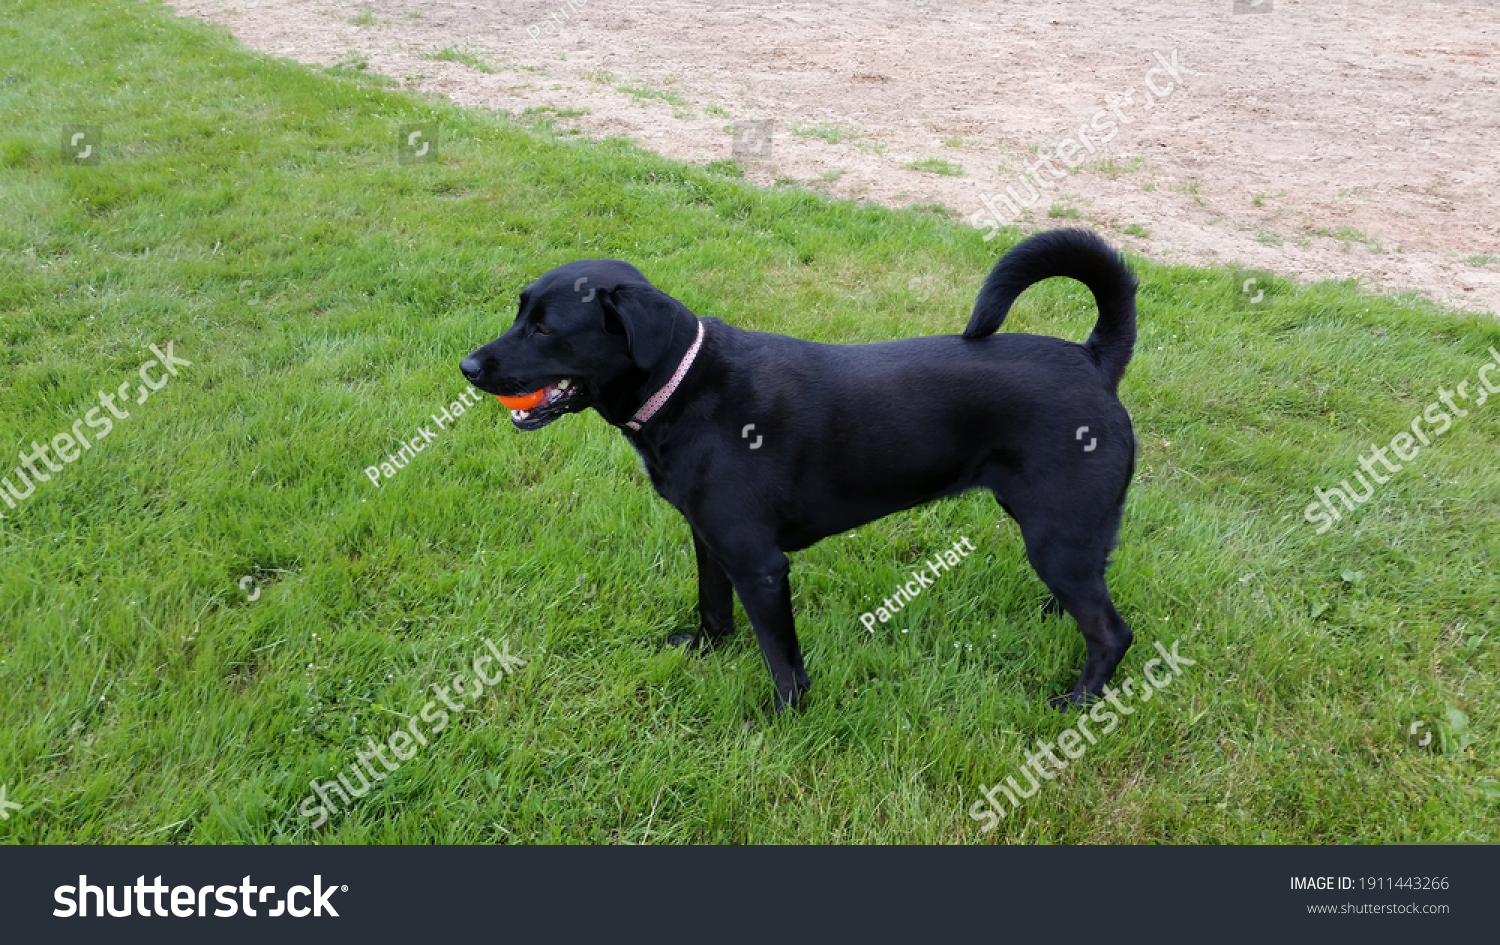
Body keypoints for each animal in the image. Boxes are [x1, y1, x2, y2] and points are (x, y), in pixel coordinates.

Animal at [459, 229, 1134, 714]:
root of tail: (1092, 360)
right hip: (1061, 530)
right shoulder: (709, 539)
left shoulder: (760, 566)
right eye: (520, 313)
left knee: (1112, 632)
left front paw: (785, 717)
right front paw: (705, 650)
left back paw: (1077, 702)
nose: (467, 366)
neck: (687, 388)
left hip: (1057, 534)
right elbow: (712, 605)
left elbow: (780, 657)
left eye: (545, 328)